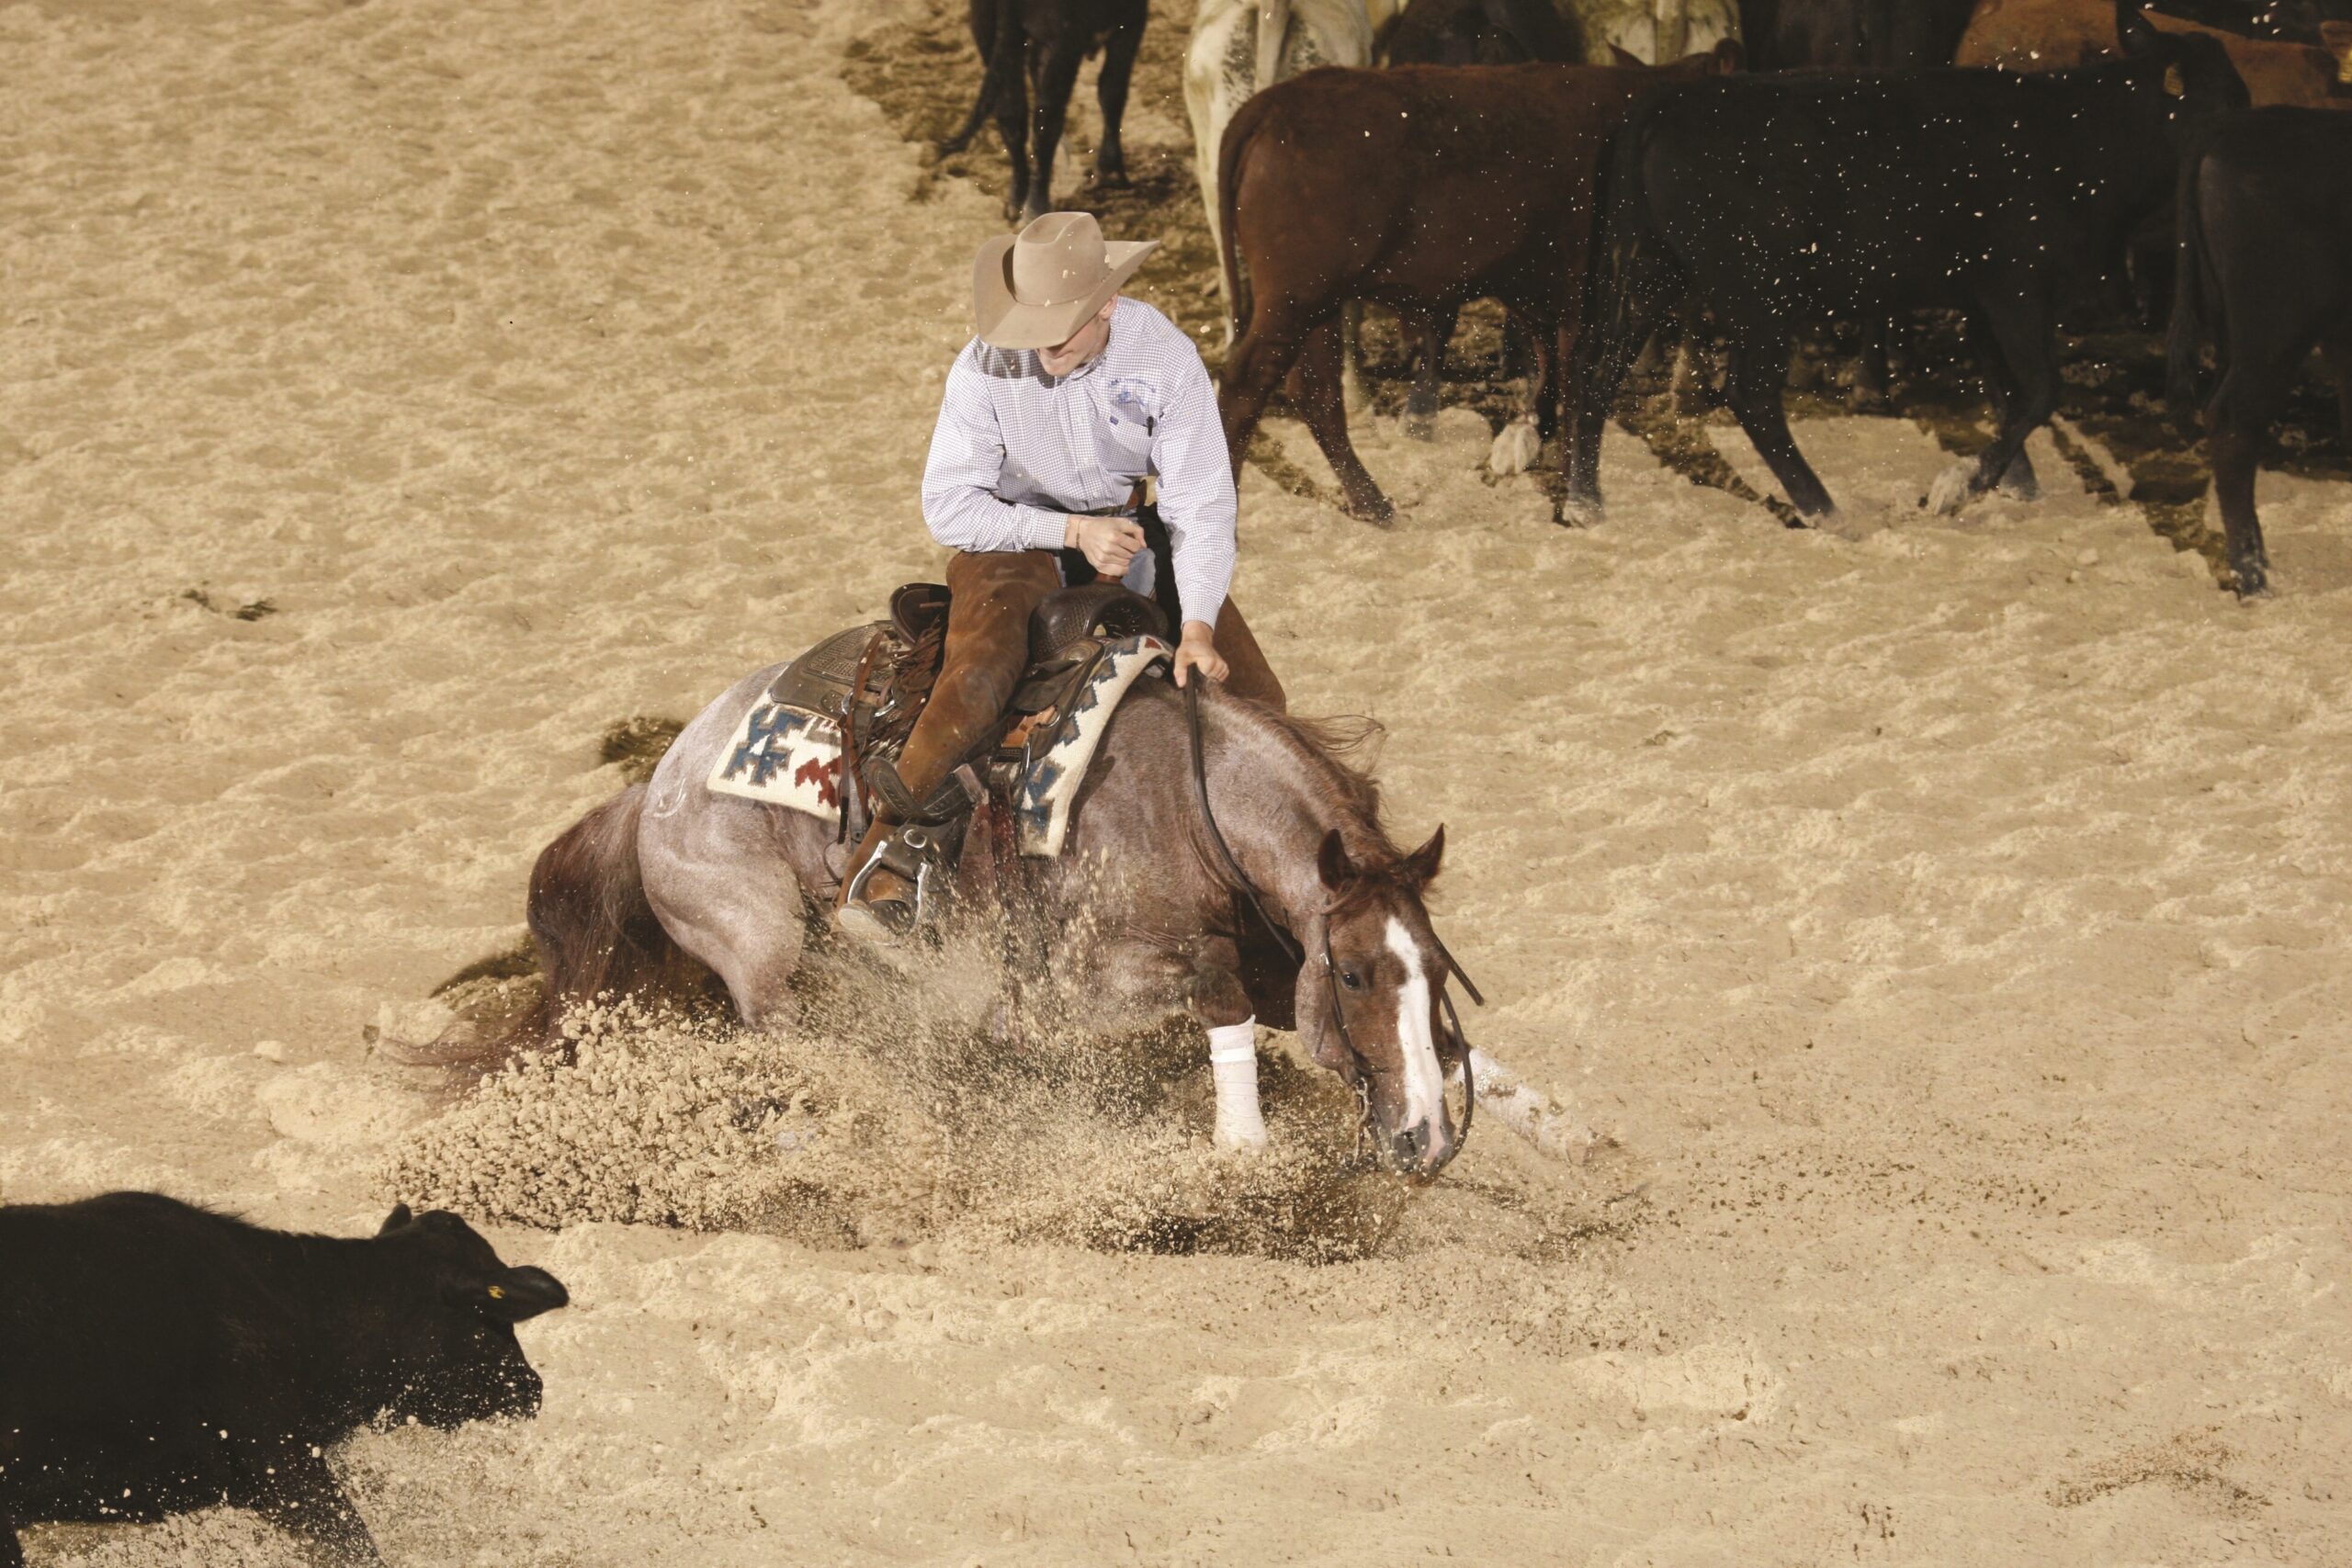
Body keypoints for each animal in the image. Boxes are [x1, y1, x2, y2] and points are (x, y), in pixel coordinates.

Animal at [496, 649, 1479, 1179]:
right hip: (758, 946)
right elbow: (1216, 983)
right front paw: (1242, 1146)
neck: (1181, 803)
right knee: (795, 1034)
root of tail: (657, 782)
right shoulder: (1077, 992)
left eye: (1436, 971)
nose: (1427, 1140)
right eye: (1353, 972)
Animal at [936, 0, 1148, 225]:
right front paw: (1111, 173)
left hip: (985, 25)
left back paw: (1018, 202)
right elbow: (1112, 91)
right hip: (1061, 43)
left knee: (1012, 112)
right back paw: (1037, 209)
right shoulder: (1132, 22)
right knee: (1046, 118)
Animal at [1217, 44, 1743, 524]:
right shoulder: (1601, 297)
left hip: (1318, 301)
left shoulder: (1541, 289)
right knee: (1246, 384)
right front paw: (1582, 499)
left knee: (1315, 392)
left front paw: (1526, 444)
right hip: (1296, 296)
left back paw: (1374, 505)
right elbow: (1586, 387)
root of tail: (1275, 103)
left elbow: (1554, 370)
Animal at [1567, 4, 2249, 527]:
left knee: (1599, 374)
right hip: (1762, 294)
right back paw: (1823, 508)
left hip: (1656, 273)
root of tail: (1667, 103)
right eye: (2230, 97)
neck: (2080, 137)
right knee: (1751, 394)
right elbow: (2038, 391)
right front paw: (1961, 486)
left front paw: (2015, 484)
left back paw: (1584, 502)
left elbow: (2006, 391)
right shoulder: (2016, 289)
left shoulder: (1981, 299)